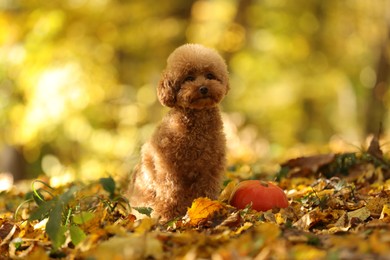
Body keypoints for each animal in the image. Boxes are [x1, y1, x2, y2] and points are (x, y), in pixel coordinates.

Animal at [128, 43, 230, 221]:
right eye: (189, 78)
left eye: (210, 75)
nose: (203, 88)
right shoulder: (168, 167)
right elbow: (171, 192)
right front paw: (168, 216)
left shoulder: (211, 167)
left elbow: (206, 189)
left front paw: (207, 207)